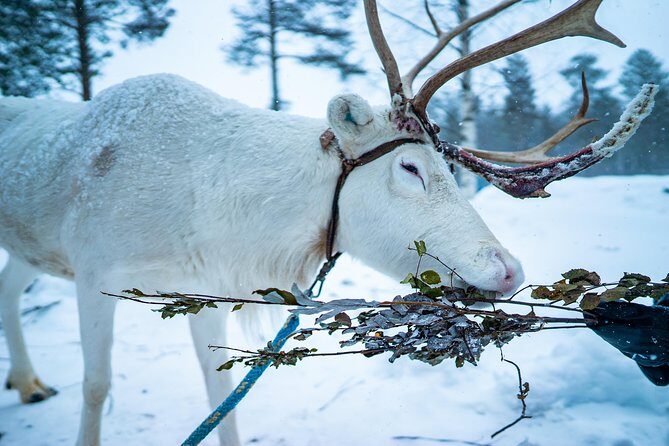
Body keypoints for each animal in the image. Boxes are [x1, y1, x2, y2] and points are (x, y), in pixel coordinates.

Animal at [0, 0, 657, 445]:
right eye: (411, 167)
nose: (508, 269)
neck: (213, 215)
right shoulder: (95, 271)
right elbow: (96, 387)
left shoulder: (201, 291)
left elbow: (220, 396)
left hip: (35, 249)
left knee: (11, 281)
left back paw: (28, 382)